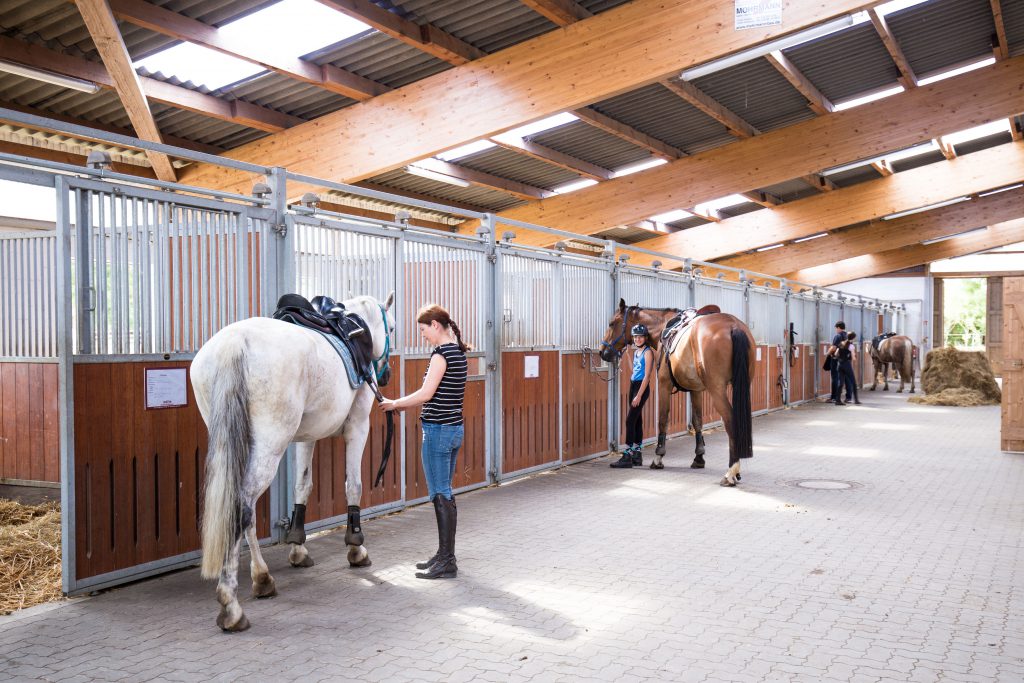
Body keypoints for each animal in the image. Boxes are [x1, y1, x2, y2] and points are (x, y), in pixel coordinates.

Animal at [190, 290, 393, 634]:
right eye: (391, 326)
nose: (386, 374)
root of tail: (235, 343)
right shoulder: (358, 426)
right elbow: (353, 485)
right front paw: (356, 547)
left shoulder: (306, 436)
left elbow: (303, 485)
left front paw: (298, 548)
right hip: (270, 444)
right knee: (242, 508)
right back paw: (232, 605)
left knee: (244, 510)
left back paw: (262, 578)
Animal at [598, 299, 757, 485]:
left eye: (611, 323)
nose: (602, 351)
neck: (662, 328)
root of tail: (733, 326)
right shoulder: (696, 390)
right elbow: (697, 421)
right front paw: (699, 458)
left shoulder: (664, 385)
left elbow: (662, 420)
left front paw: (658, 458)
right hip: (742, 386)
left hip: (717, 389)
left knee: (730, 421)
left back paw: (731, 471)